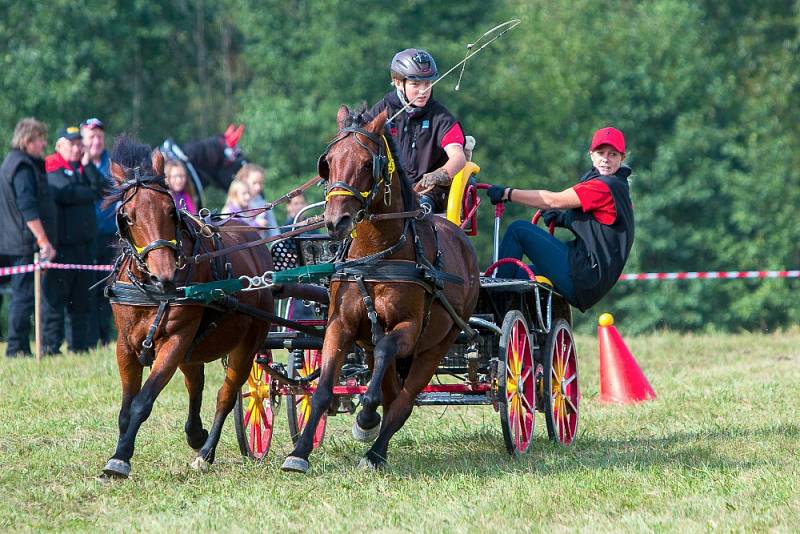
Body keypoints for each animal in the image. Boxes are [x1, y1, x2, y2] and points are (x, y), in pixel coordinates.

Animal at [98, 136, 274, 480]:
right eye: (128, 216)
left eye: (170, 211)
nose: (165, 275)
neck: (151, 291)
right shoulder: (125, 345)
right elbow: (126, 407)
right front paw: (119, 452)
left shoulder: (176, 340)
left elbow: (142, 401)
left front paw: (120, 460)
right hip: (196, 348)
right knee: (197, 383)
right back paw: (197, 435)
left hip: (248, 343)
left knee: (226, 395)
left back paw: (205, 453)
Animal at [282, 105, 478, 474]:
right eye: (328, 162)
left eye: (365, 164)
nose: (335, 221)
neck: (375, 256)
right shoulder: (340, 326)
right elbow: (323, 389)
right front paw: (298, 453)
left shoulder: (409, 329)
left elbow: (388, 354)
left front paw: (365, 419)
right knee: (389, 387)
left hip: (437, 346)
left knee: (403, 401)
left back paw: (375, 451)